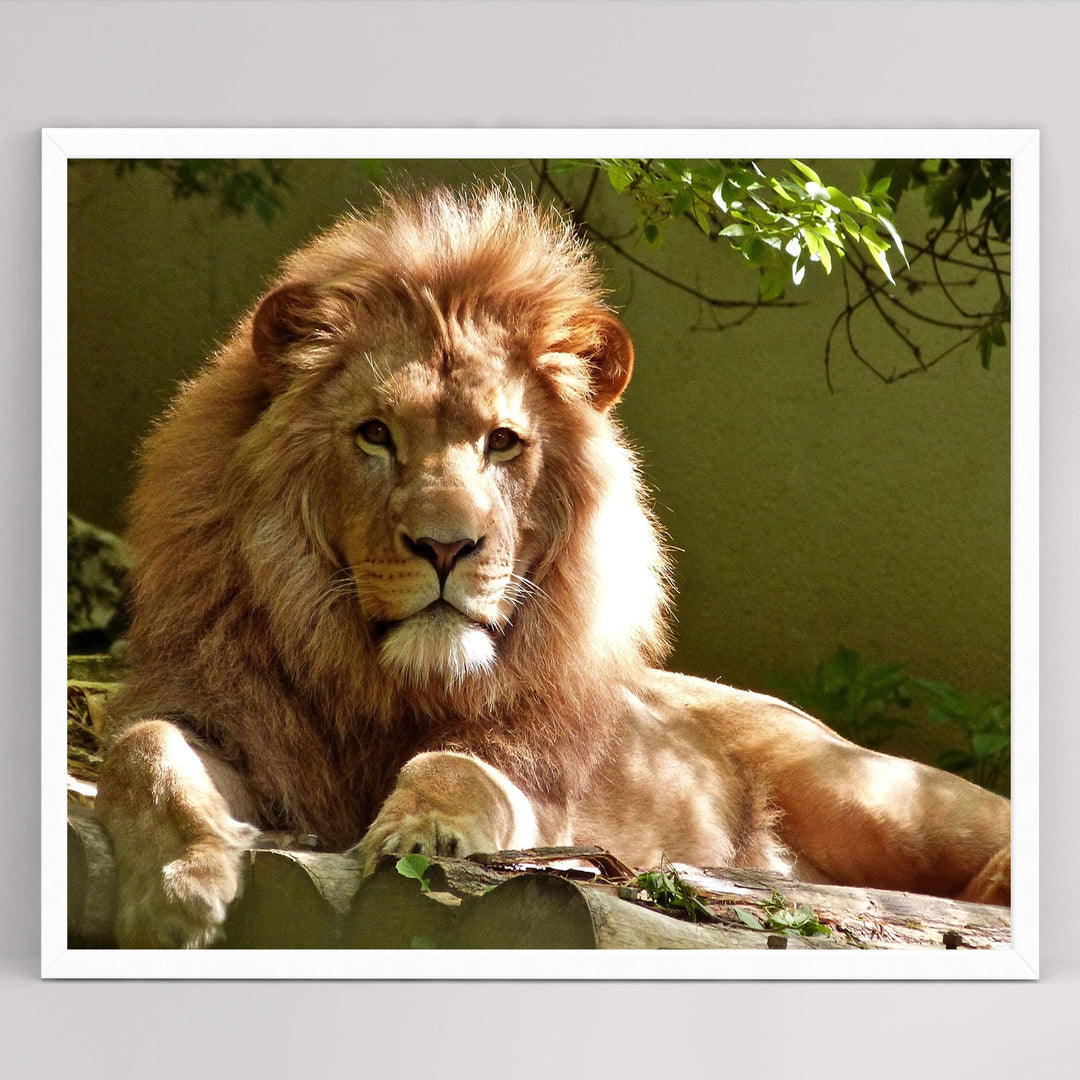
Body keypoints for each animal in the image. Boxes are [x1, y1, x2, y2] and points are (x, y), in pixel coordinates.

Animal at [95, 186, 1011, 948]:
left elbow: (457, 769)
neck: (383, 682)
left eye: (503, 442)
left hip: (873, 796)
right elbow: (143, 750)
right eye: (375, 435)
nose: (446, 547)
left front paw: (421, 832)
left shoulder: (538, 791)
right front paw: (180, 886)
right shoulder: (220, 711)